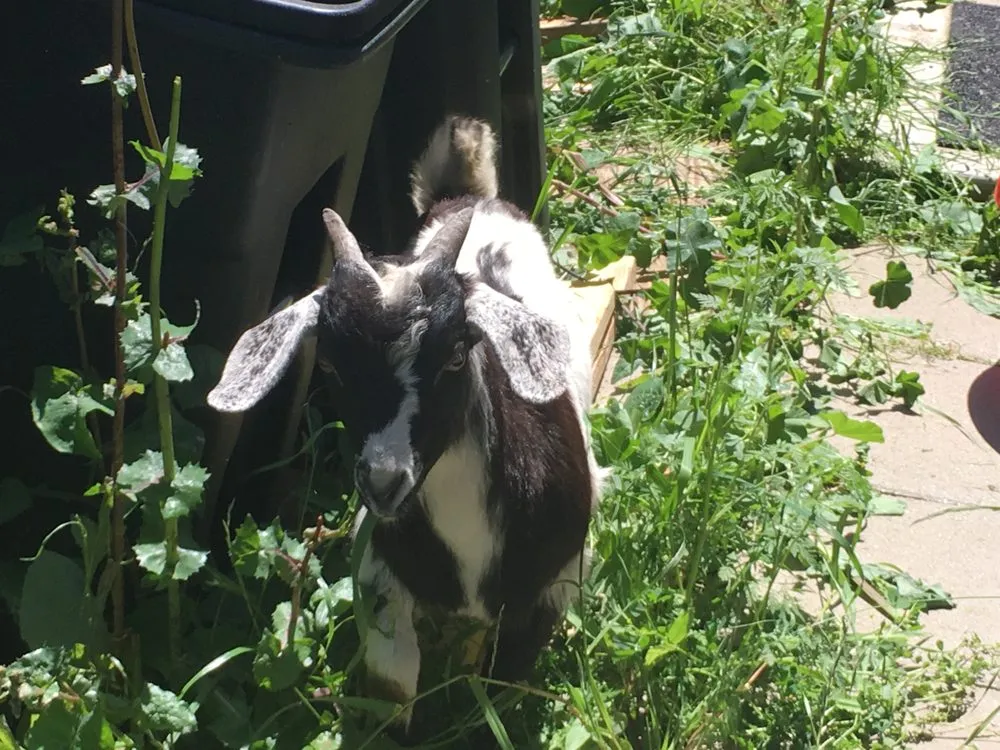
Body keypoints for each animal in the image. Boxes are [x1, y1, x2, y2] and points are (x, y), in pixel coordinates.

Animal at [206, 115, 603, 738]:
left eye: (457, 355)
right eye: (329, 365)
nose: (384, 481)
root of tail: (465, 196)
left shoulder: (554, 584)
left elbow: (501, 689)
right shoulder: (380, 578)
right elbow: (394, 688)